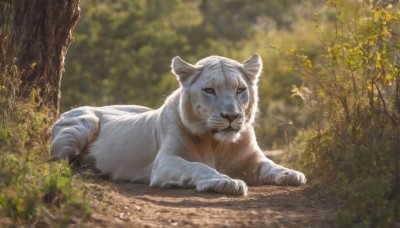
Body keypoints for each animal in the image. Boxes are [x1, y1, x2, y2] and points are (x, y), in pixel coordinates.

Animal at [50, 54, 306, 196]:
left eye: (240, 90)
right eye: (209, 90)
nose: (231, 116)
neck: (216, 143)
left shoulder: (251, 159)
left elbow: (270, 165)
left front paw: (290, 173)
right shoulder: (165, 162)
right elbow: (198, 167)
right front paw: (224, 181)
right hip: (84, 122)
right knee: (56, 162)